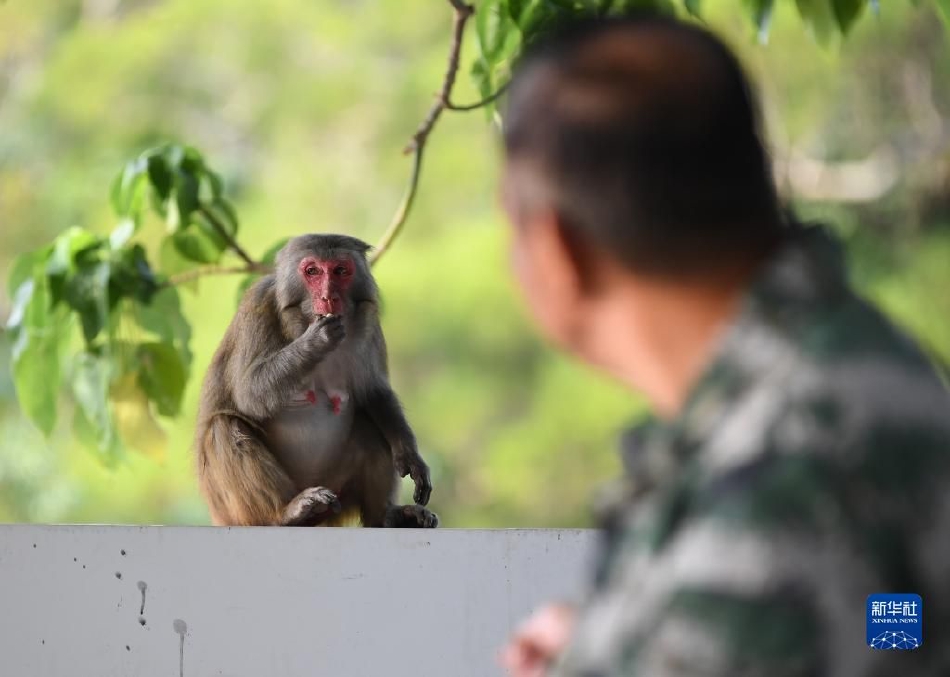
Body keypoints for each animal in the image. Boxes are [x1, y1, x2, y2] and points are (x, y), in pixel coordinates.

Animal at [198, 234, 442, 528]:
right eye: (312, 271)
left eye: (340, 270)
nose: (328, 297)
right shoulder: (259, 305)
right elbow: (248, 394)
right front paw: (315, 342)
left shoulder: (370, 323)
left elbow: (374, 392)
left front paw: (411, 457)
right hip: (237, 511)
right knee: (223, 426)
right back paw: (287, 513)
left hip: (338, 491)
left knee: (369, 425)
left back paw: (385, 516)